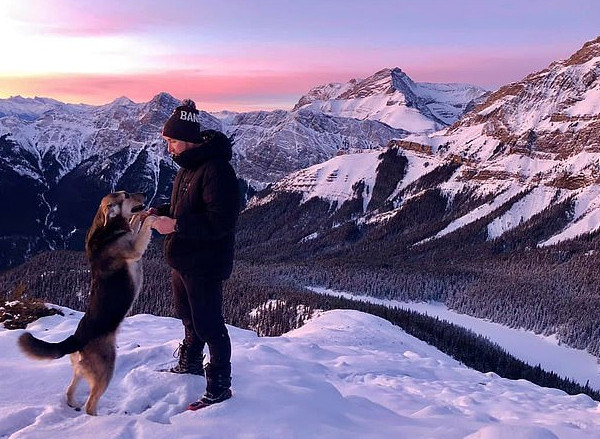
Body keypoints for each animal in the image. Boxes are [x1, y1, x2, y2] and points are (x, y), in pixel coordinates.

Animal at [17, 190, 156, 416]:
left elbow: (134, 222)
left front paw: (141, 216)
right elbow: (143, 228)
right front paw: (152, 217)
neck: (107, 228)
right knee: (91, 405)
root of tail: (76, 339)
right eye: (126, 195)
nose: (144, 193)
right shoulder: (134, 248)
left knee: (69, 389)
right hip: (106, 368)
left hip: (81, 370)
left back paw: (74, 403)